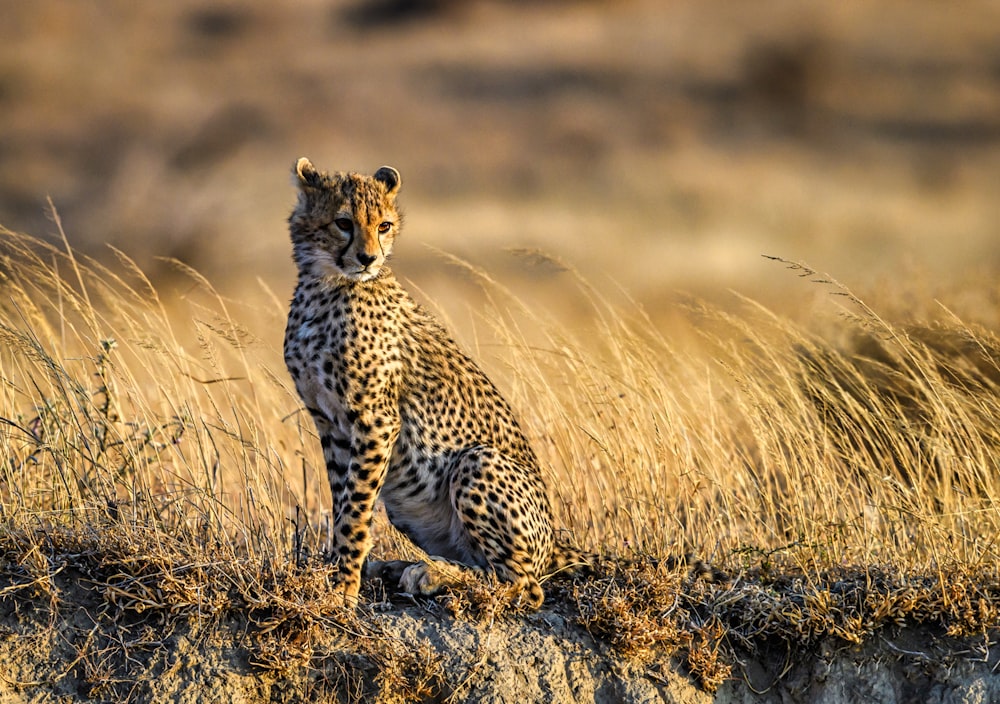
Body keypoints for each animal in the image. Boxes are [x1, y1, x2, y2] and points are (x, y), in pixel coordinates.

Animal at [282, 157, 584, 608]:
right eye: (343, 222)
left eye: (384, 225)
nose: (368, 258)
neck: (327, 283)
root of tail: (554, 542)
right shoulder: (329, 422)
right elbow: (342, 503)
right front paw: (339, 569)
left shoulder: (376, 421)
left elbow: (355, 511)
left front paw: (343, 588)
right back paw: (398, 568)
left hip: (476, 461)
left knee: (524, 586)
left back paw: (430, 574)